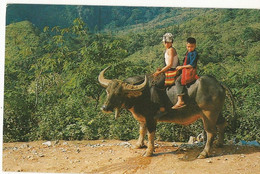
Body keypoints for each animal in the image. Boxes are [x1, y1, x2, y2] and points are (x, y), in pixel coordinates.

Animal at [98, 67, 236, 159]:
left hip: (208, 114)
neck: (141, 94)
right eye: (107, 91)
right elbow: (141, 131)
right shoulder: (142, 119)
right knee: (222, 123)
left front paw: (149, 152)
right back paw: (219, 144)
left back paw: (204, 153)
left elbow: (150, 135)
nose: (105, 107)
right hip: (217, 112)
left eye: (119, 93)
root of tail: (218, 83)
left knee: (211, 132)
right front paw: (138, 145)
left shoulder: (151, 118)